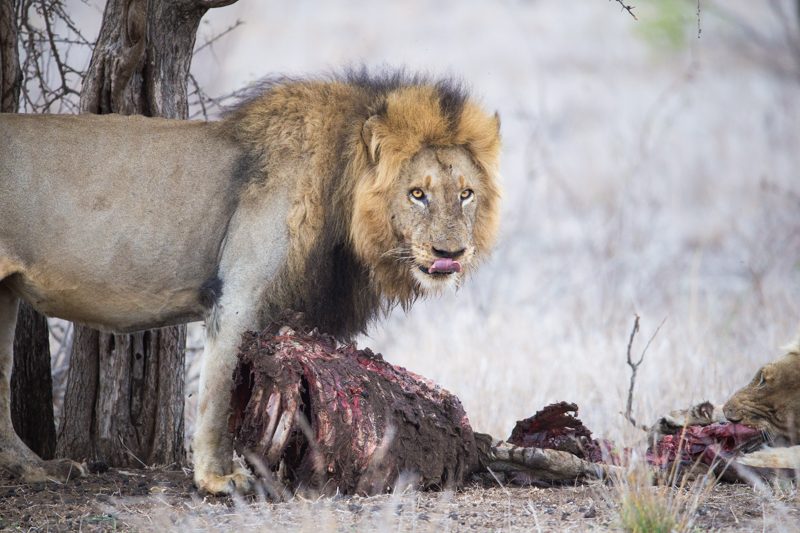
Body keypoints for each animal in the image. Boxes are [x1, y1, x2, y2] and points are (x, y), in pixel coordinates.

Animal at [0, 68, 500, 492]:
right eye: (417, 193)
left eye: (465, 194)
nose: (450, 255)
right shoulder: (239, 293)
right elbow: (220, 391)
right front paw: (217, 478)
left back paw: (36, 469)